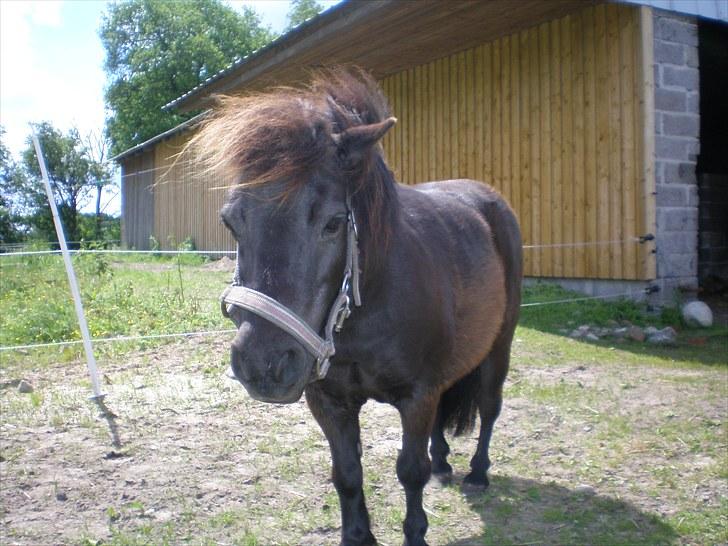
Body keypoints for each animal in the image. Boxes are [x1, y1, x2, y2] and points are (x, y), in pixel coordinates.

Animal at [193, 68, 522, 546]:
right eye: (231, 221)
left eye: (333, 223)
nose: (262, 365)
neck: (370, 307)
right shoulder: (328, 399)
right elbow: (347, 473)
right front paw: (358, 535)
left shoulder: (417, 396)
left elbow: (411, 471)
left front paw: (416, 533)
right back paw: (445, 464)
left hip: (499, 348)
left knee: (490, 406)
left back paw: (478, 474)